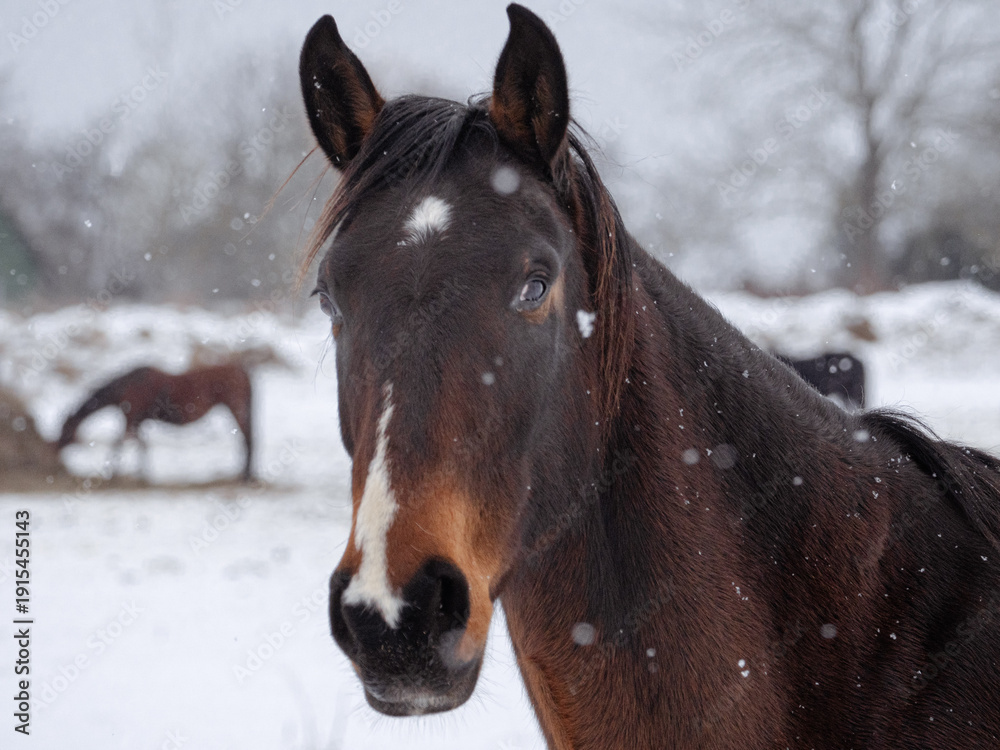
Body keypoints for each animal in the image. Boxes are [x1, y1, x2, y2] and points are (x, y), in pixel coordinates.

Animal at [57, 363, 253, 480]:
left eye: (65, 429)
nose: (57, 447)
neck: (129, 385)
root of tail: (241, 371)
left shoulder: (130, 420)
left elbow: (118, 443)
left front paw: (112, 473)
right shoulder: (137, 422)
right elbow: (142, 445)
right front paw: (143, 473)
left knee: (246, 438)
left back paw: (245, 475)